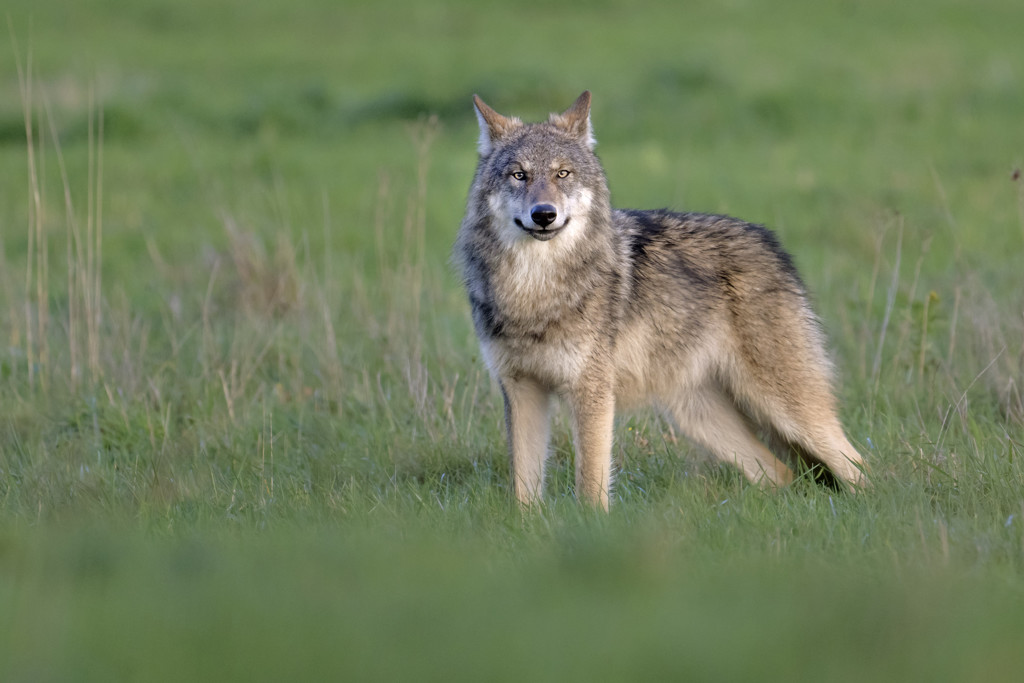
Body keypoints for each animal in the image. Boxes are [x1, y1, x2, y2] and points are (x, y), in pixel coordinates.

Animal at [453, 91, 865, 509]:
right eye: (519, 175)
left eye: (562, 174)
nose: (544, 214)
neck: (534, 290)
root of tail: (771, 243)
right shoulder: (521, 390)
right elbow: (523, 491)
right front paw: (529, 522)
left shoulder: (592, 392)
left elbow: (590, 486)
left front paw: (589, 523)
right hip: (699, 417)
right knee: (781, 474)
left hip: (787, 409)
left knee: (858, 466)